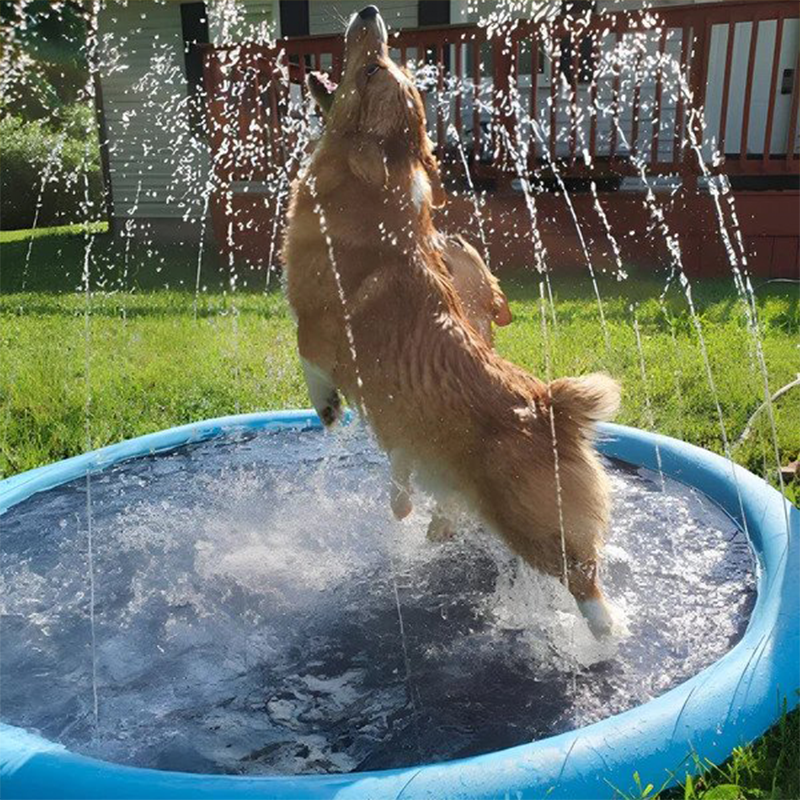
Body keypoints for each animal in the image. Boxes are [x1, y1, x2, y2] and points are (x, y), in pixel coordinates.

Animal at [284, 4, 620, 632]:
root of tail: (552, 409)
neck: (372, 192)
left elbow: (310, 362)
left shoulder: (315, 328)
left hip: (533, 527)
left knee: (585, 582)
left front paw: (328, 408)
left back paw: (601, 637)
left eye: (373, 70)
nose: (369, 12)